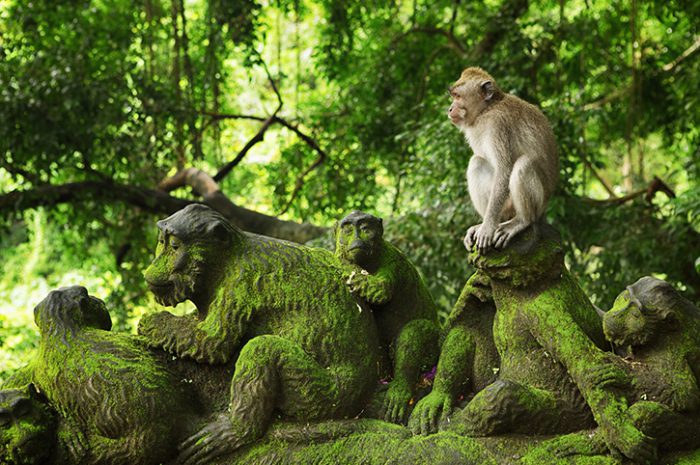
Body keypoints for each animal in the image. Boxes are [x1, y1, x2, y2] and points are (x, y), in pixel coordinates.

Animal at [448, 67, 559, 252]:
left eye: (457, 96)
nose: (450, 109)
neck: (486, 110)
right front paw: (484, 225)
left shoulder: (497, 124)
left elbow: (504, 169)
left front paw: (487, 227)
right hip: (506, 208)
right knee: (477, 162)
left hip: (529, 203)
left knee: (523, 164)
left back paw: (521, 221)